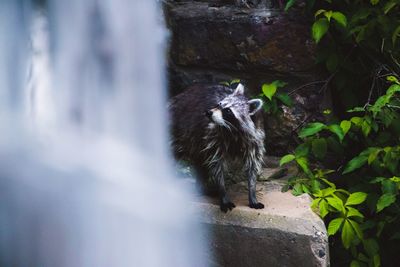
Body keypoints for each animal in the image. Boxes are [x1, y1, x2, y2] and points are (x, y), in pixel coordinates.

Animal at [169, 82, 266, 213]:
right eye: (219, 104)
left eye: (228, 111)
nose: (208, 112)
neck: (232, 130)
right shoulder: (213, 138)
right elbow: (216, 166)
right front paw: (223, 192)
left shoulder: (254, 140)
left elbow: (252, 166)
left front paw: (252, 192)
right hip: (178, 131)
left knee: (200, 163)